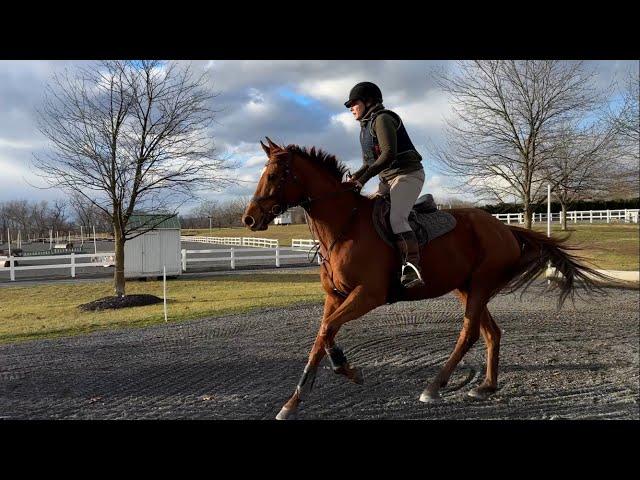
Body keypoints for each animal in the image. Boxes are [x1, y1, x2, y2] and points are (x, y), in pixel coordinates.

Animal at [242, 137, 608, 418]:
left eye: (274, 175)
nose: (249, 219)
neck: (344, 226)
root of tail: (503, 227)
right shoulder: (335, 297)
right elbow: (321, 337)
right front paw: (294, 402)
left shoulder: (368, 295)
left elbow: (328, 330)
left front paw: (348, 370)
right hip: (467, 288)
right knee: (491, 332)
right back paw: (486, 386)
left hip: (478, 287)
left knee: (469, 333)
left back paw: (434, 386)